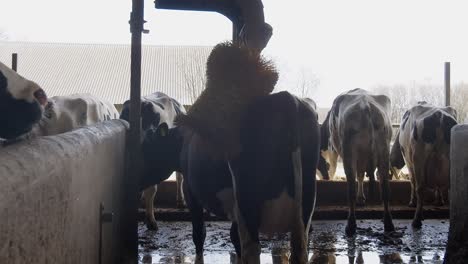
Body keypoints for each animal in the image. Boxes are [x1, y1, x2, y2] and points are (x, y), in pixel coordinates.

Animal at [324, 88, 394, 235]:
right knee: (385, 187)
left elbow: (359, 176)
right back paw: (388, 223)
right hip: (384, 151)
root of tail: (365, 104)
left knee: (350, 186)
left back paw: (351, 224)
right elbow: (361, 175)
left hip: (349, 152)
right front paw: (361, 198)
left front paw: (360, 198)